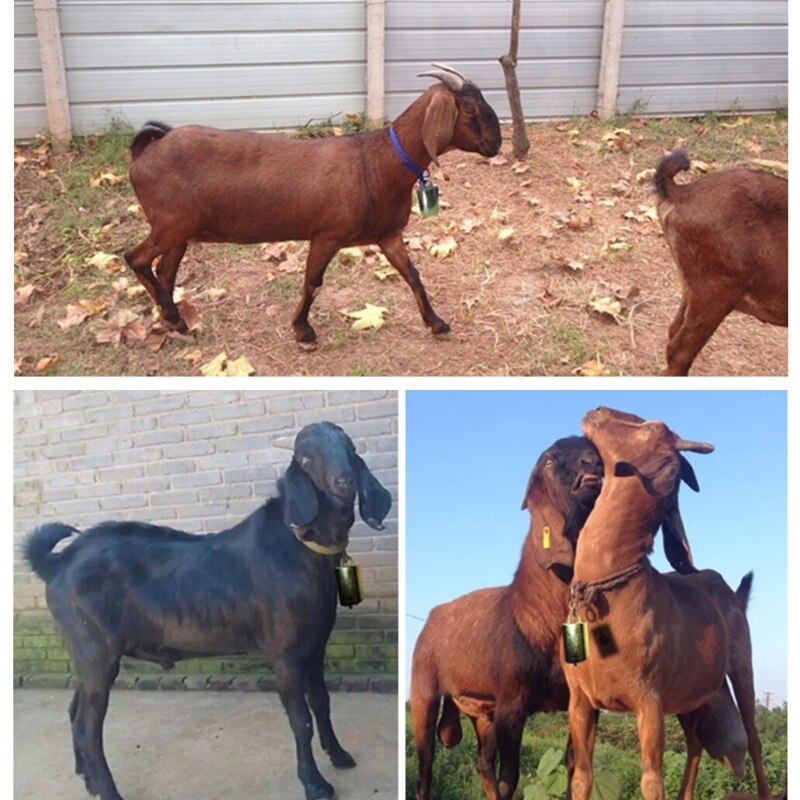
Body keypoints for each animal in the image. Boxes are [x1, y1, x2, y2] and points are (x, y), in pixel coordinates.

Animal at [26, 418, 396, 800]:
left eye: (349, 449)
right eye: (306, 459)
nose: (344, 481)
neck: (300, 548)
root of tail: (56, 563)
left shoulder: (315, 644)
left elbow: (322, 703)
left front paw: (339, 755)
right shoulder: (285, 652)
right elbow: (301, 719)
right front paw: (315, 784)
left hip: (84, 654)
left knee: (73, 712)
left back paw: (86, 776)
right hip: (95, 650)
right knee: (87, 725)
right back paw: (108, 791)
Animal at [123, 63, 500, 346]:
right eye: (468, 109)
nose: (496, 144)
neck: (377, 164)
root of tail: (145, 150)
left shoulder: (388, 235)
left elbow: (413, 276)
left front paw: (436, 323)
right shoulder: (326, 235)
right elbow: (313, 282)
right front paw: (303, 331)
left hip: (179, 230)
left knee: (164, 271)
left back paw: (173, 320)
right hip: (172, 223)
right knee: (135, 258)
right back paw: (172, 315)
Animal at [564, 410, 776, 800]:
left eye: (652, 427)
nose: (596, 410)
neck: (608, 593)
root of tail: (734, 595)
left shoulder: (649, 701)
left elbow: (651, 780)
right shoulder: (580, 703)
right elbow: (581, 778)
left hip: (742, 665)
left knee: (753, 741)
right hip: (689, 696)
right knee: (695, 743)